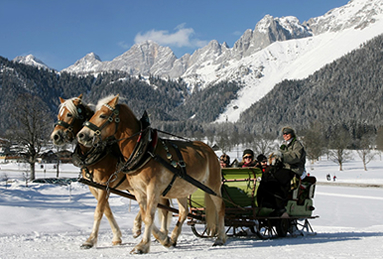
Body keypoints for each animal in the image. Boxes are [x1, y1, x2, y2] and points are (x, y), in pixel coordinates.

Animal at [51, 96, 147, 250]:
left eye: (69, 114)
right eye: (59, 115)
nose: (55, 136)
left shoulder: (104, 184)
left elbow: (98, 211)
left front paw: (90, 240)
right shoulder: (94, 186)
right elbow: (106, 210)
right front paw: (117, 237)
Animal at [77, 95, 228, 254]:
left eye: (102, 115)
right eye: (93, 114)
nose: (81, 135)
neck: (145, 150)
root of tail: (209, 150)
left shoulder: (152, 189)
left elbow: (148, 216)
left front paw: (142, 245)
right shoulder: (138, 191)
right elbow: (144, 216)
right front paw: (163, 239)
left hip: (213, 187)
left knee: (220, 208)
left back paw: (220, 238)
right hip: (181, 188)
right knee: (183, 212)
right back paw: (173, 238)